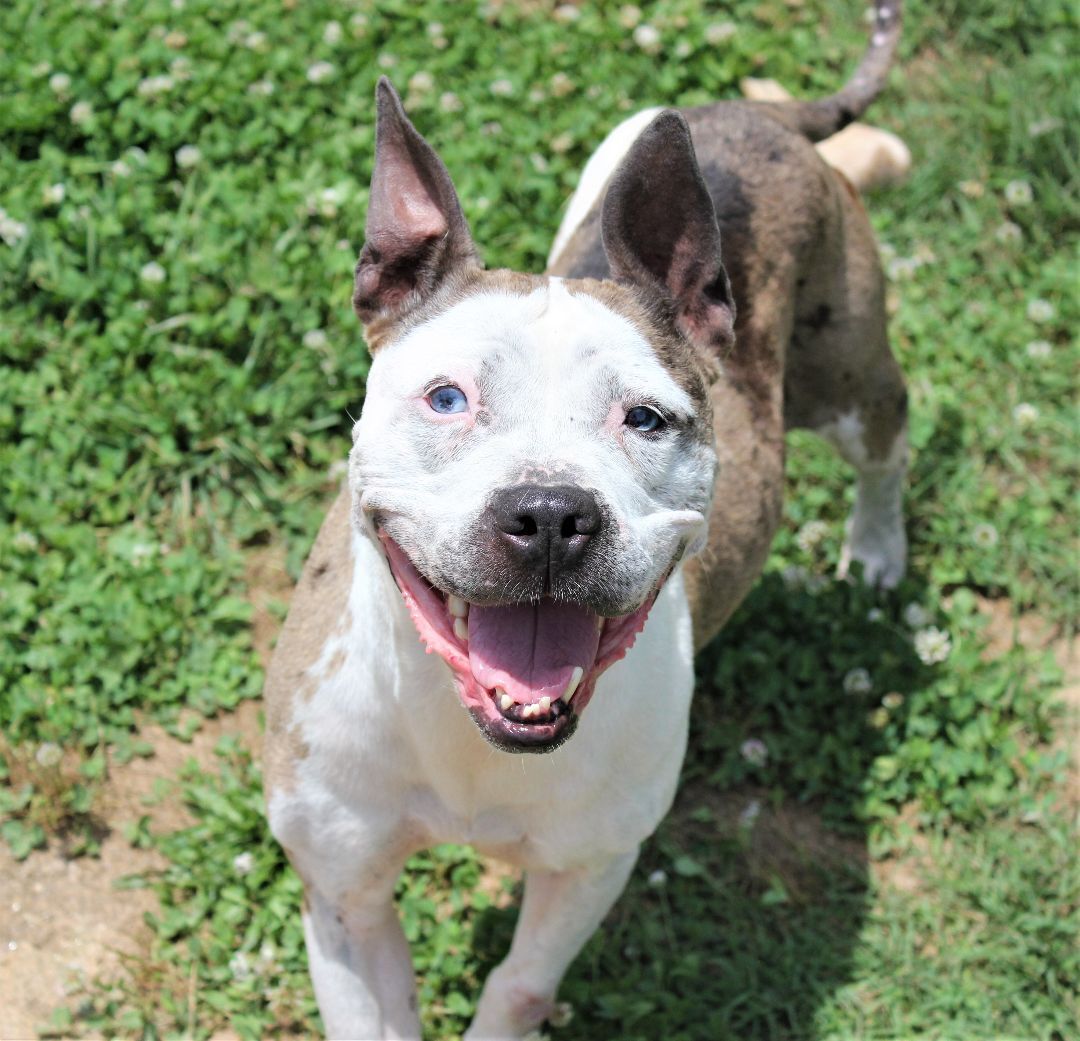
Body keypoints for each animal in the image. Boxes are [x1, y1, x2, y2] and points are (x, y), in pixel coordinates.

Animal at [265, 4, 907, 1036]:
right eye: (447, 399)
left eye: (644, 418)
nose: (549, 513)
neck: (463, 724)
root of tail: (764, 117)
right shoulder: (343, 894)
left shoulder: (588, 866)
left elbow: (519, 984)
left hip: (848, 374)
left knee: (890, 440)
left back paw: (879, 551)